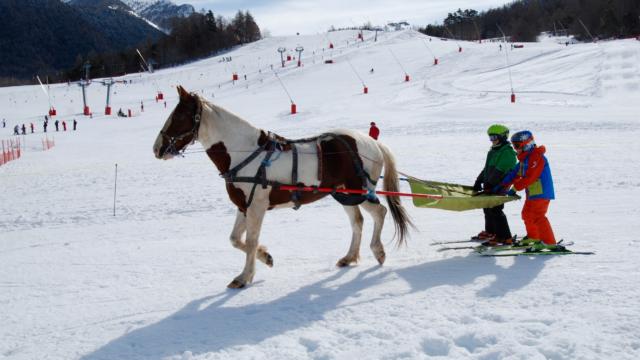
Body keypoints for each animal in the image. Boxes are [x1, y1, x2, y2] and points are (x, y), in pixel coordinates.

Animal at [156, 86, 416, 288]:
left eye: (179, 116)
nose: (156, 148)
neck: (246, 152)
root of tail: (372, 142)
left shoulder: (257, 207)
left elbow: (250, 241)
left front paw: (244, 276)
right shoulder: (244, 206)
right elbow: (235, 240)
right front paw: (265, 256)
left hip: (361, 191)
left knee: (380, 212)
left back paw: (378, 251)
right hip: (344, 193)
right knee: (358, 221)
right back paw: (350, 257)